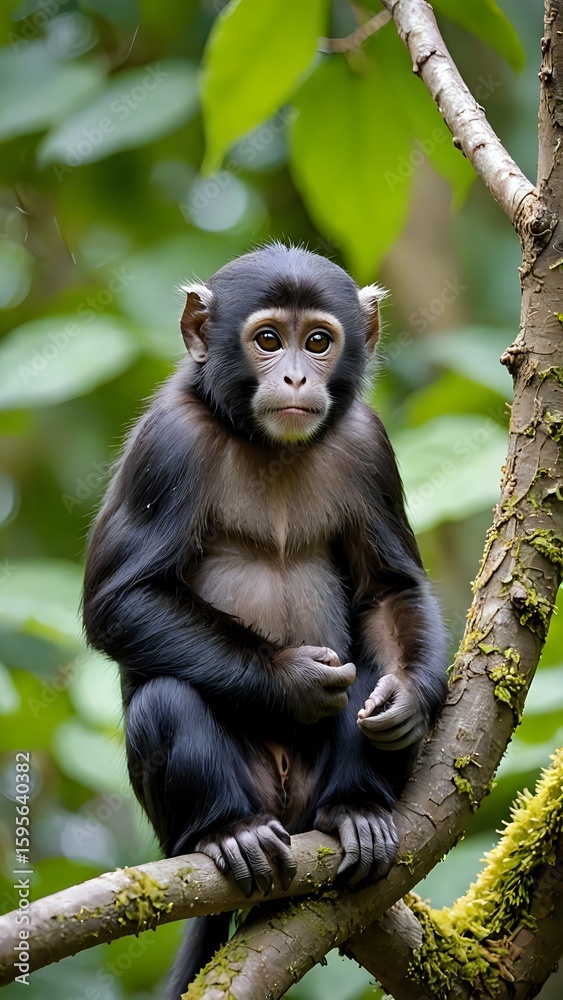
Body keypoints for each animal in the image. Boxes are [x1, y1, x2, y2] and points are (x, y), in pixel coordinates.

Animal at [82, 243, 448, 998]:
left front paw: (404, 698)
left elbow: (389, 588)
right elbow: (120, 600)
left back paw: (355, 809)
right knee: (167, 699)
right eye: (269, 339)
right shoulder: (168, 442)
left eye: (319, 341)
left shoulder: (369, 446)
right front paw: (292, 680)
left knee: (360, 678)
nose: (294, 374)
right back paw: (232, 831)